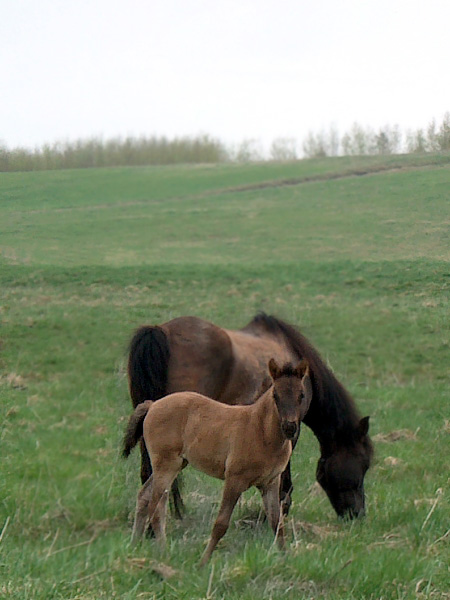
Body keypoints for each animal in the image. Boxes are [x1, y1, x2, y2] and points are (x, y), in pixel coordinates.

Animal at [123, 358, 312, 564]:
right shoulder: (234, 480)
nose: (289, 427)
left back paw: (134, 545)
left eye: (301, 395)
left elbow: (277, 524)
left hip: (176, 464)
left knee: (144, 496)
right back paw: (163, 552)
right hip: (166, 465)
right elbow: (221, 524)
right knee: (156, 507)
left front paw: (286, 560)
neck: (261, 431)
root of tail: (152, 405)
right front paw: (203, 562)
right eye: (275, 395)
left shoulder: (270, 483)